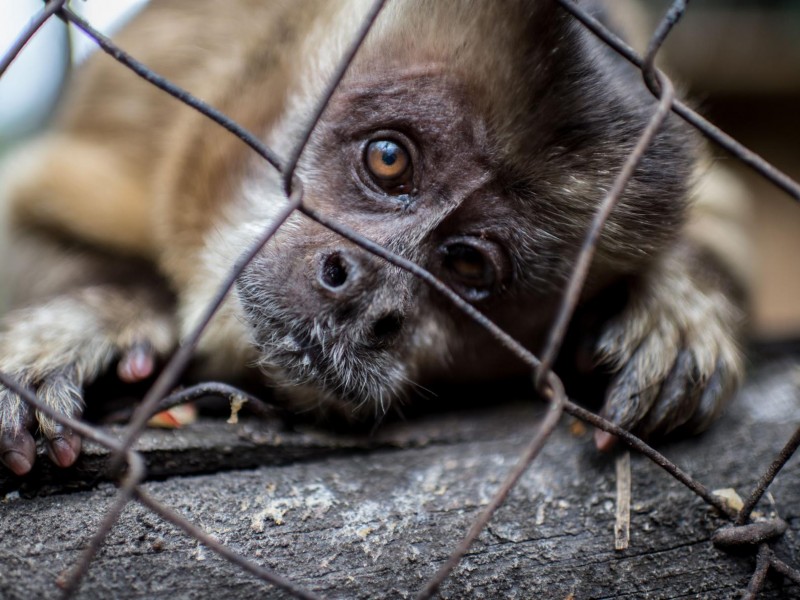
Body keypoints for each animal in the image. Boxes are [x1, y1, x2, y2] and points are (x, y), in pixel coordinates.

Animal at [0, 1, 744, 478]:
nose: (367, 297)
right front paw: (98, 317)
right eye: (389, 160)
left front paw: (675, 305)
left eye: (469, 264)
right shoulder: (151, 108)